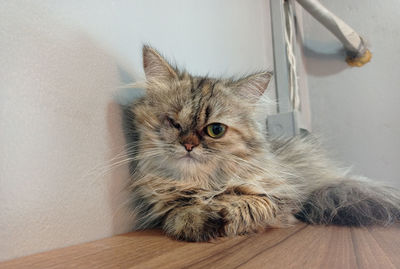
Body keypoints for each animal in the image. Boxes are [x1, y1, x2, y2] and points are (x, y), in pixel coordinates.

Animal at [126, 45, 400, 241]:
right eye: (173, 123)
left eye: (216, 130)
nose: (188, 146)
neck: (204, 185)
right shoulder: (165, 205)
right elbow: (180, 214)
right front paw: (202, 221)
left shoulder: (283, 199)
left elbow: (251, 204)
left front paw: (226, 214)